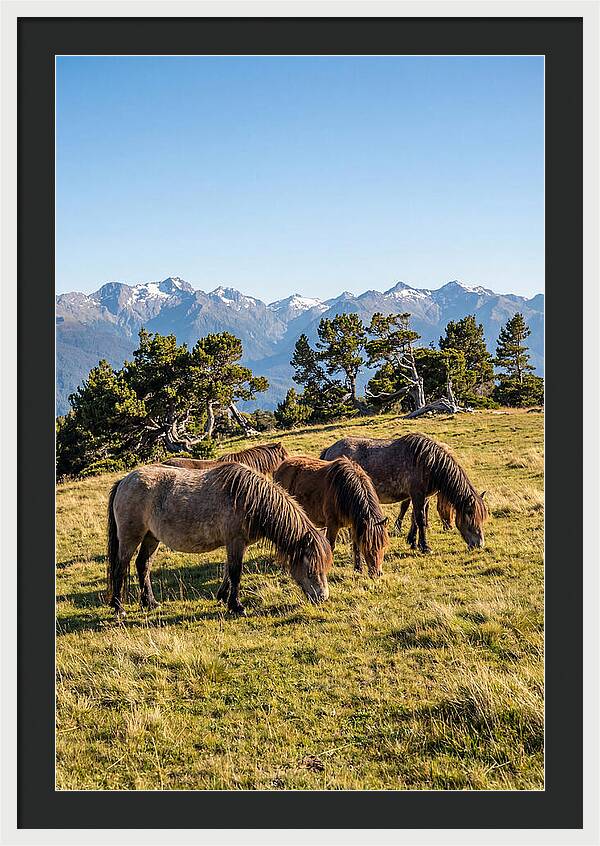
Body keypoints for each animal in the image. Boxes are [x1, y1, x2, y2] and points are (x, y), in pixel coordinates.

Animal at [106, 462, 332, 617]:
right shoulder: (235, 542)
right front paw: (237, 606)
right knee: (120, 567)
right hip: (130, 537)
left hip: (151, 538)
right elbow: (235, 572)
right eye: (311, 570)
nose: (322, 597)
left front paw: (223, 597)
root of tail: (124, 481)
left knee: (143, 565)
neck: (249, 499)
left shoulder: (238, 544)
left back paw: (150, 602)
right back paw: (119, 608)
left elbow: (227, 571)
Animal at [320, 433, 487, 552]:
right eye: (471, 516)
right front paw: (425, 547)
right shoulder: (417, 494)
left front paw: (413, 542)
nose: (479, 544)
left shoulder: (423, 497)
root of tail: (329, 449)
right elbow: (420, 519)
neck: (428, 461)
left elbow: (415, 518)